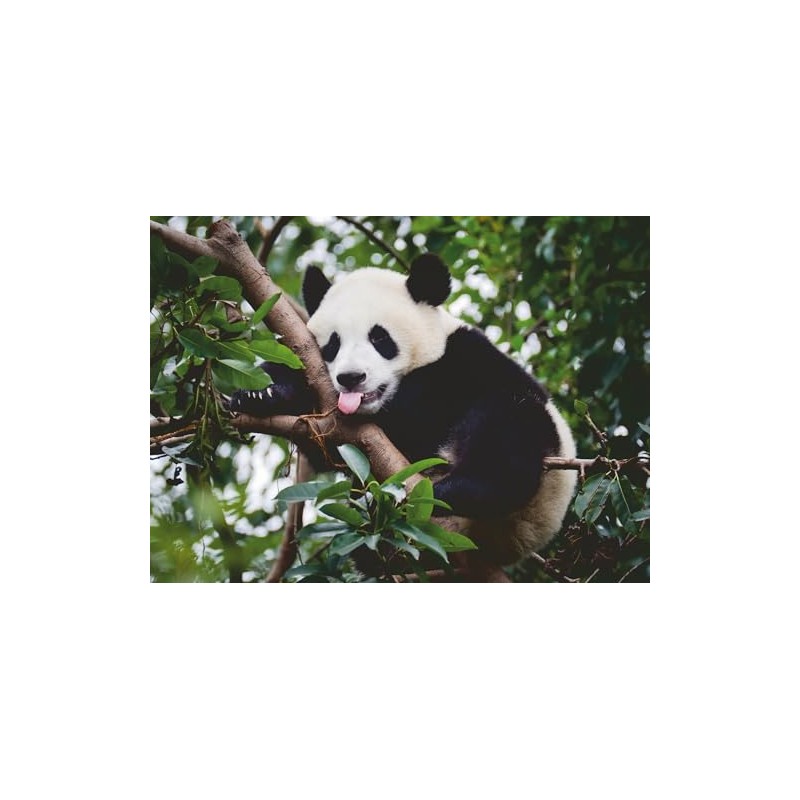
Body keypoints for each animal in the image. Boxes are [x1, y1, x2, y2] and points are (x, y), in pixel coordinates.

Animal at [231, 254, 577, 567]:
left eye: (379, 338)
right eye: (333, 344)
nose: (351, 378)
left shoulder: (466, 360)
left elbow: (418, 413)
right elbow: (322, 444)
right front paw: (260, 392)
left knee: (506, 436)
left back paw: (449, 492)